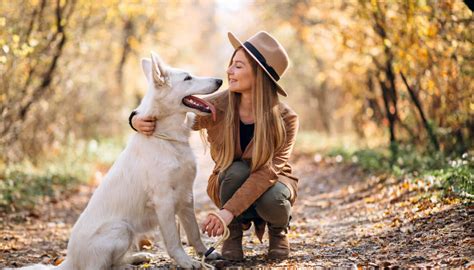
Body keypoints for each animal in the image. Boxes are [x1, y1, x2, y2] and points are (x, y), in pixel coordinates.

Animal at [10, 51, 222, 268]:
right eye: (188, 78)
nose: (220, 80)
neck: (165, 138)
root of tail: (70, 260)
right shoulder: (164, 201)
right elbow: (174, 240)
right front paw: (186, 262)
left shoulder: (186, 196)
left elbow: (194, 232)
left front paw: (206, 253)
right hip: (121, 229)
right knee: (104, 266)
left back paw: (139, 257)